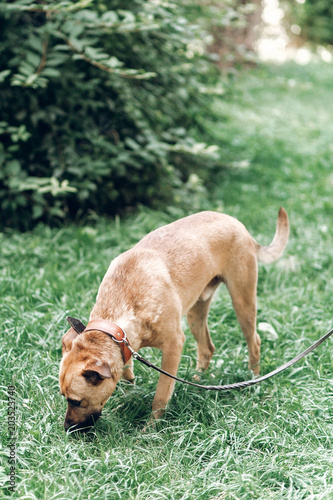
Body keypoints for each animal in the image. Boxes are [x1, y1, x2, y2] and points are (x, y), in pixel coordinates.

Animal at [59, 209, 288, 432]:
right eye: (63, 397)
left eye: (76, 401)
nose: (67, 429)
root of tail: (237, 223)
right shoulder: (125, 343)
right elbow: (126, 370)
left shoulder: (172, 347)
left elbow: (161, 395)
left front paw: (151, 429)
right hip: (196, 313)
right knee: (207, 348)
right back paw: (197, 379)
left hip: (242, 301)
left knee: (254, 342)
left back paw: (254, 380)